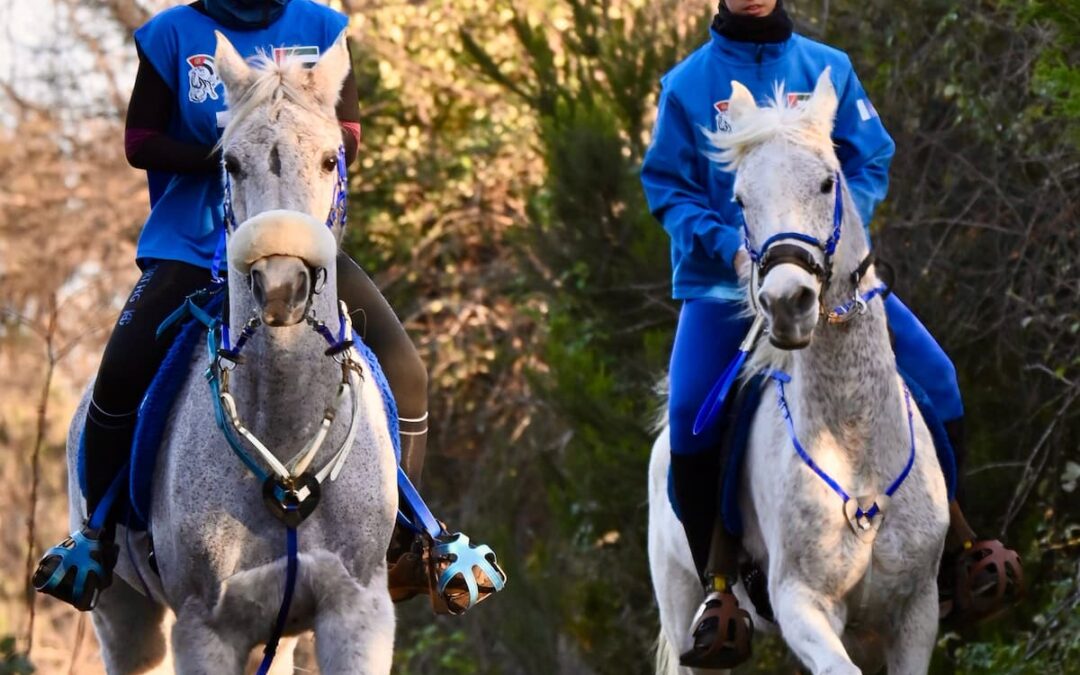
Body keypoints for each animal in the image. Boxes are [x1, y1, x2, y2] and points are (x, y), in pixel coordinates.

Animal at [61, 32, 397, 673]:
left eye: (330, 158)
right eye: (231, 164)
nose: (283, 284)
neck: (286, 443)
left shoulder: (357, 614)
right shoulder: (205, 630)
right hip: (127, 623)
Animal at [648, 71, 946, 669]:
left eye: (829, 183)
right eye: (740, 199)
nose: (787, 302)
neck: (853, 448)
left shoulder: (916, 611)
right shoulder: (801, 604)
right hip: (681, 609)